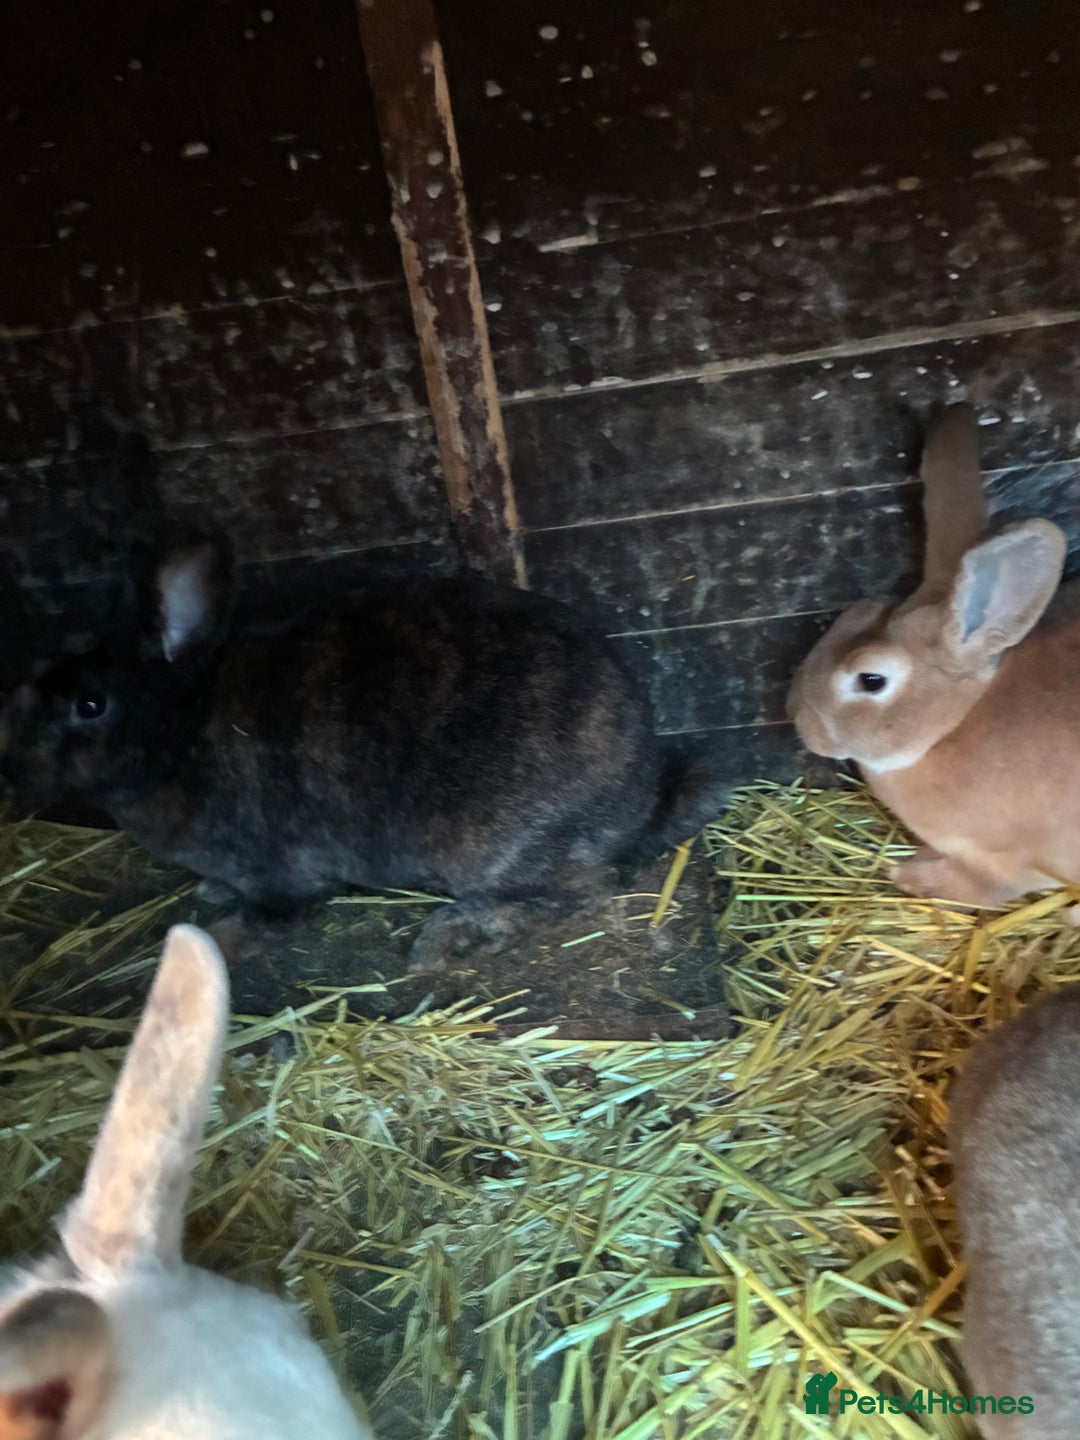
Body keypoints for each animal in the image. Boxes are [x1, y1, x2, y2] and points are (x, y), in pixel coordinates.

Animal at [0, 473, 726, 970]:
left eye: (89, 705)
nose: (11, 765)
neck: (181, 731)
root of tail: (640, 798)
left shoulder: (280, 873)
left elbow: (275, 913)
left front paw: (221, 937)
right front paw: (209, 891)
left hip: (486, 847)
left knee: (569, 895)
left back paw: (447, 937)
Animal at [787, 401, 1079, 911]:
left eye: (870, 679)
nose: (797, 718)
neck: (953, 724)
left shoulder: (1008, 862)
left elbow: (981, 888)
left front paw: (910, 875)